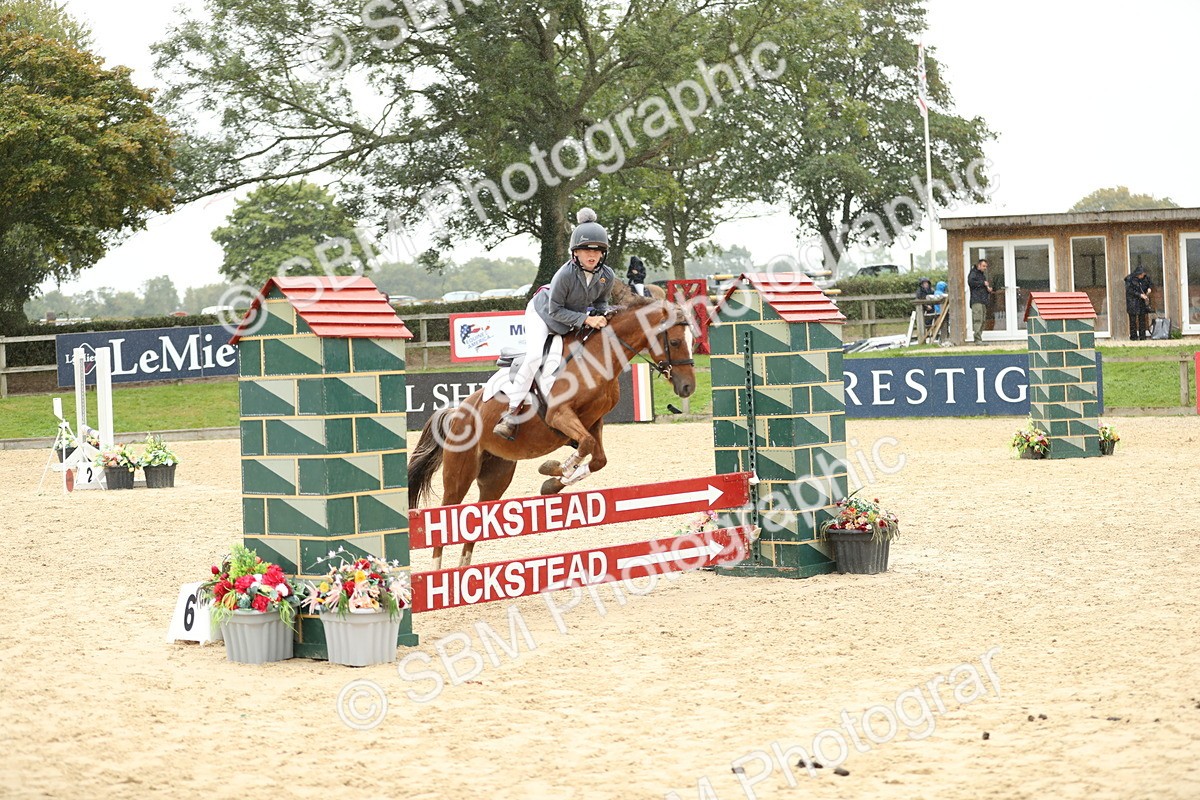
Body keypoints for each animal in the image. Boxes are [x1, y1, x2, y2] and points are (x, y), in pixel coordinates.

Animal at [408, 296, 697, 570]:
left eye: (693, 341)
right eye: (674, 341)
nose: (687, 387)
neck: (598, 358)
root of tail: (458, 412)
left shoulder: (593, 421)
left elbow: (596, 457)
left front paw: (553, 482)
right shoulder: (560, 415)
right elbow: (585, 447)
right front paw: (556, 469)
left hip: (496, 475)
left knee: (475, 519)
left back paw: (463, 570)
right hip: (460, 471)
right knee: (446, 515)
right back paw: (438, 572)